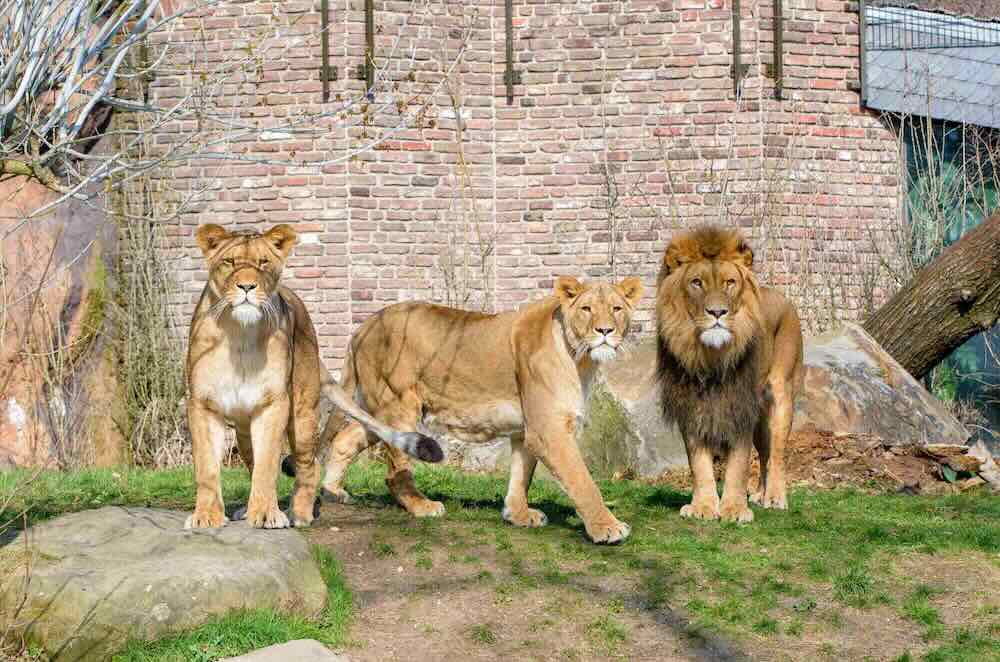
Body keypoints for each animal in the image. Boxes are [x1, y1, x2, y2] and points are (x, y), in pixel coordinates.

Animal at [185, 223, 443, 530]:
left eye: (263, 262)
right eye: (230, 262)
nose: (247, 286)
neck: (239, 335)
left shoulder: (274, 404)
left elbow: (267, 466)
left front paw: (267, 514)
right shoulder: (202, 404)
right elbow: (207, 468)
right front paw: (206, 516)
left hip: (303, 413)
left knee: (310, 465)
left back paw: (300, 513)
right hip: (245, 428)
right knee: (252, 462)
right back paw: (247, 510)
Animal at [293, 276, 644, 544]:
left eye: (616, 309)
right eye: (587, 309)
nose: (605, 331)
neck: (581, 359)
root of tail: (363, 326)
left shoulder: (526, 429)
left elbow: (521, 474)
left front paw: (517, 514)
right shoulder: (549, 429)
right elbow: (582, 481)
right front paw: (607, 527)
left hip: (379, 407)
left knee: (348, 436)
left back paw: (334, 490)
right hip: (398, 403)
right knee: (395, 471)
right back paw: (422, 506)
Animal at [655, 226, 803, 524]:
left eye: (730, 283)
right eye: (697, 282)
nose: (717, 312)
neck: (711, 356)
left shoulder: (740, 406)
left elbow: (738, 464)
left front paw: (734, 509)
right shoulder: (691, 407)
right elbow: (698, 464)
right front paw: (703, 507)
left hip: (781, 394)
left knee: (777, 453)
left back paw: (775, 497)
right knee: (765, 451)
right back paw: (759, 494)